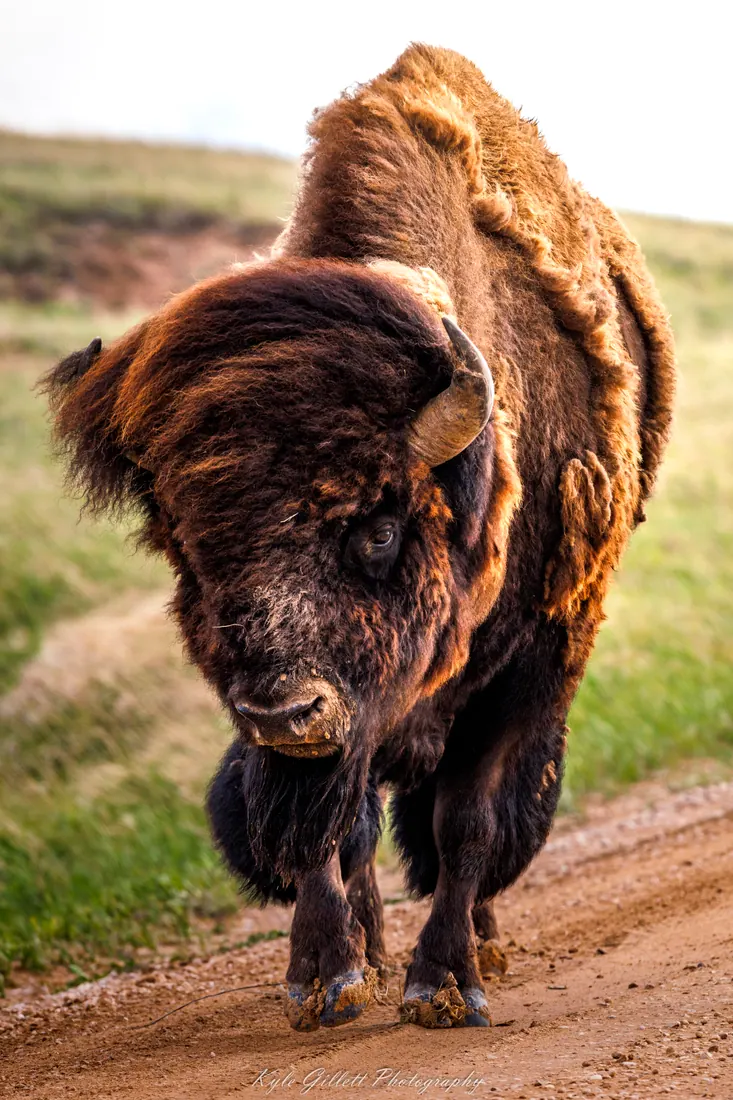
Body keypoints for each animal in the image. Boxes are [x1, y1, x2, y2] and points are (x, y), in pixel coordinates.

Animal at [44, 45, 675, 1030]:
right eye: (188, 545)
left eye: (379, 528)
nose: (282, 712)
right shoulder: (332, 724)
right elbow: (330, 834)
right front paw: (328, 978)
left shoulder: (523, 669)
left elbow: (466, 822)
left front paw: (443, 987)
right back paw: (376, 951)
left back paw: (480, 942)